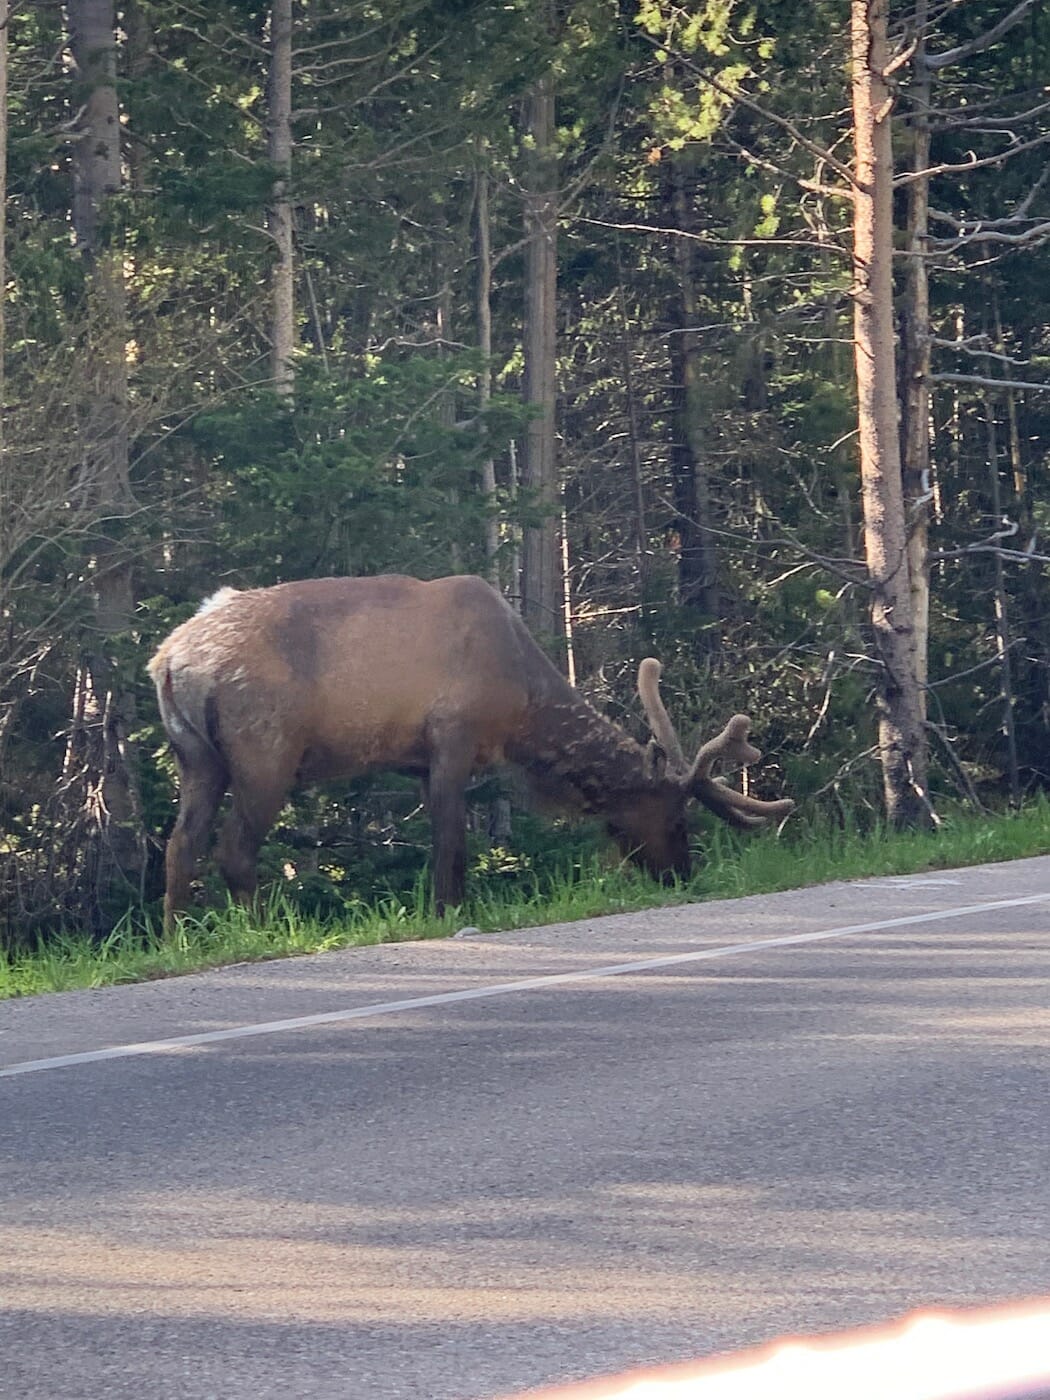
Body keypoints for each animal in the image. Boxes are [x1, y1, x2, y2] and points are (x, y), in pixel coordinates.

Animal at [146, 574, 789, 924]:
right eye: (677, 818)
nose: (683, 874)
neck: (521, 705)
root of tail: (170, 660)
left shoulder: (416, 759)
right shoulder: (452, 736)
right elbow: (452, 842)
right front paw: (449, 911)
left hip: (195, 757)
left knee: (180, 847)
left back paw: (178, 936)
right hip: (265, 750)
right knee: (232, 850)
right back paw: (256, 927)